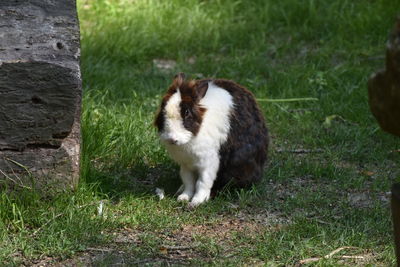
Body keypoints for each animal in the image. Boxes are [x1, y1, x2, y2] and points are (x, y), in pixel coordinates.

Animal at [155, 73, 270, 207]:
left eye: (187, 112)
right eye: (163, 108)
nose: (172, 139)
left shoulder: (209, 163)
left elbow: (202, 183)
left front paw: (196, 201)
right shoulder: (186, 164)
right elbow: (188, 181)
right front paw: (183, 197)